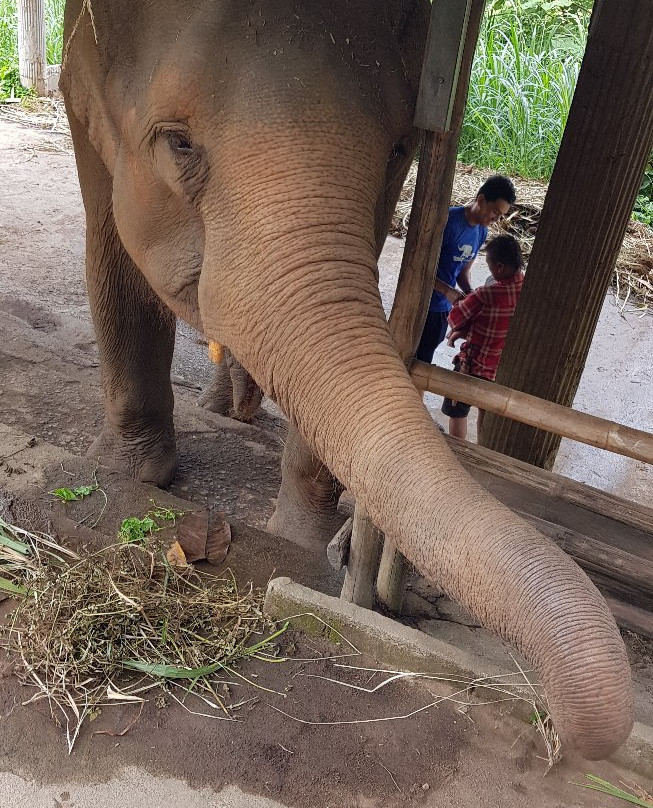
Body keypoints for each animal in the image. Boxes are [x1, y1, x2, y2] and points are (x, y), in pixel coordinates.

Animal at [60, 0, 633, 759]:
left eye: (397, 151)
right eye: (178, 143)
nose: (566, 737)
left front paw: (303, 542)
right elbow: (114, 249)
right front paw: (128, 474)